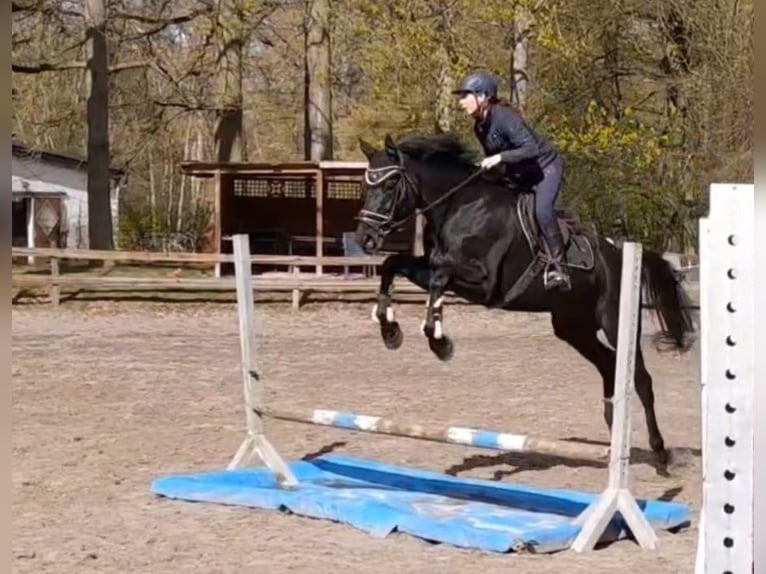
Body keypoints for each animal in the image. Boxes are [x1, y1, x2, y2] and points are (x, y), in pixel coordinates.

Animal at [354, 132, 696, 473]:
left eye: (389, 185)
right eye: (365, 186)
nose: (364, 239)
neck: (458, 207)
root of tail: (620, 253)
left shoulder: (483, 282)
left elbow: (438, 282)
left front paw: (440, 343)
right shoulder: (432, 266)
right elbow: (393, 265)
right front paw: (389, 330)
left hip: (615, 323)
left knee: (641, 378)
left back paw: (660, 453)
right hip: (573, 328)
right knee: (609, 366)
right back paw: (614, 441)